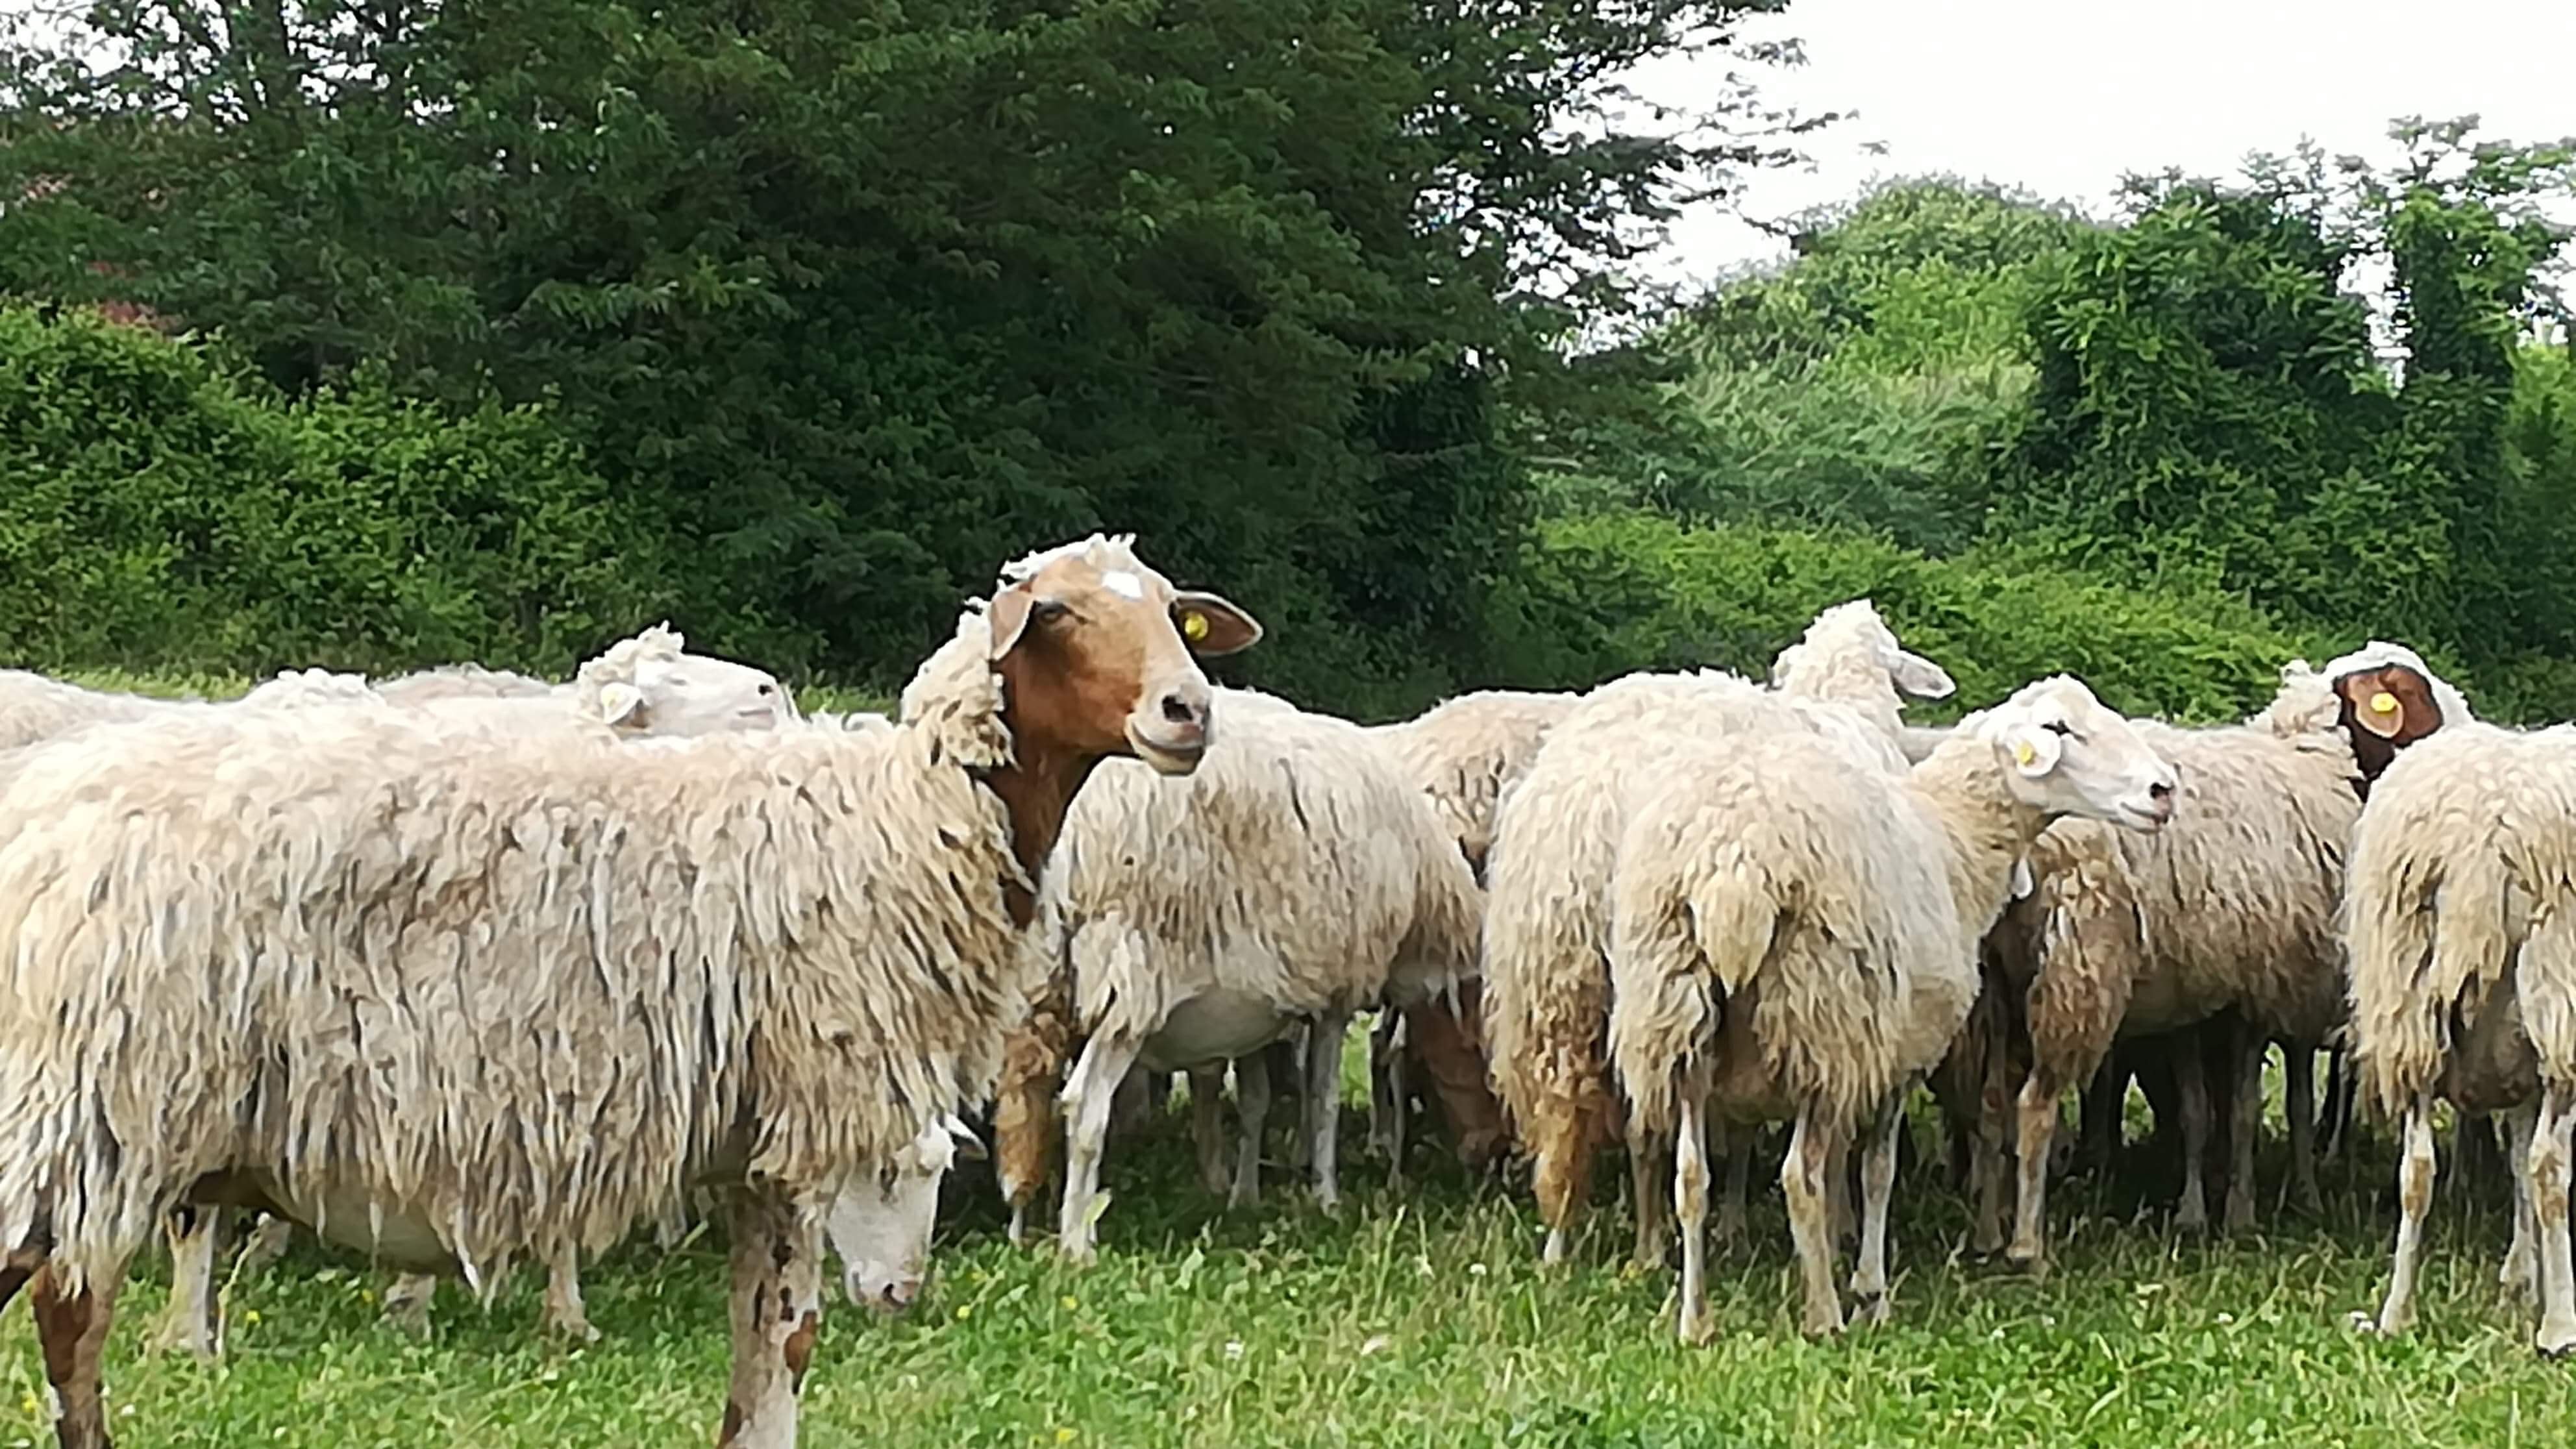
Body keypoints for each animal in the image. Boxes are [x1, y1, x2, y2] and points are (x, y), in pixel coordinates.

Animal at [0, 534, 1260, 1449]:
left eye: (1172, 610)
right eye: (1056, 615)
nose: (1188, 714)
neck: (898, 822)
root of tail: (44, 817)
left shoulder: (752, 1149)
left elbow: (757, 1352)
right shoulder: (801, 1126)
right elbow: (790, 1343)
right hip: (88, 1106)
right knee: (70, 1322)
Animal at [997, 691, 1483, 1262]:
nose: (1481, 1159)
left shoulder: (1261, 1004)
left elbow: (1256, 1102)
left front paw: (1244, 1194)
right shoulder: (1336, 996)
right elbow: (1323, 1100)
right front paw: (1326, 1196)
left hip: (1035, 979)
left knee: (1024, 1103)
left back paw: (1020, 1224)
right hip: (1129, 971)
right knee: (1083, 1105)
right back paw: (1077, 1242)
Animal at [1607, 675, 2177, 1339]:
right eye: (2058, 729)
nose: (2163, 790)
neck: (1957, 843)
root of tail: (1734, 864)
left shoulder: (1860, 1057)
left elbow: (1838, 1171)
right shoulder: (1897, 1055)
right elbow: (1875, 1171)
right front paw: (1868, 1289)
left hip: (1676, 1019)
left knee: (1692, 1178)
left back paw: (1695, 1322)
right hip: (1818, 1014)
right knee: (1796, 1175)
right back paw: (1823, 1317)